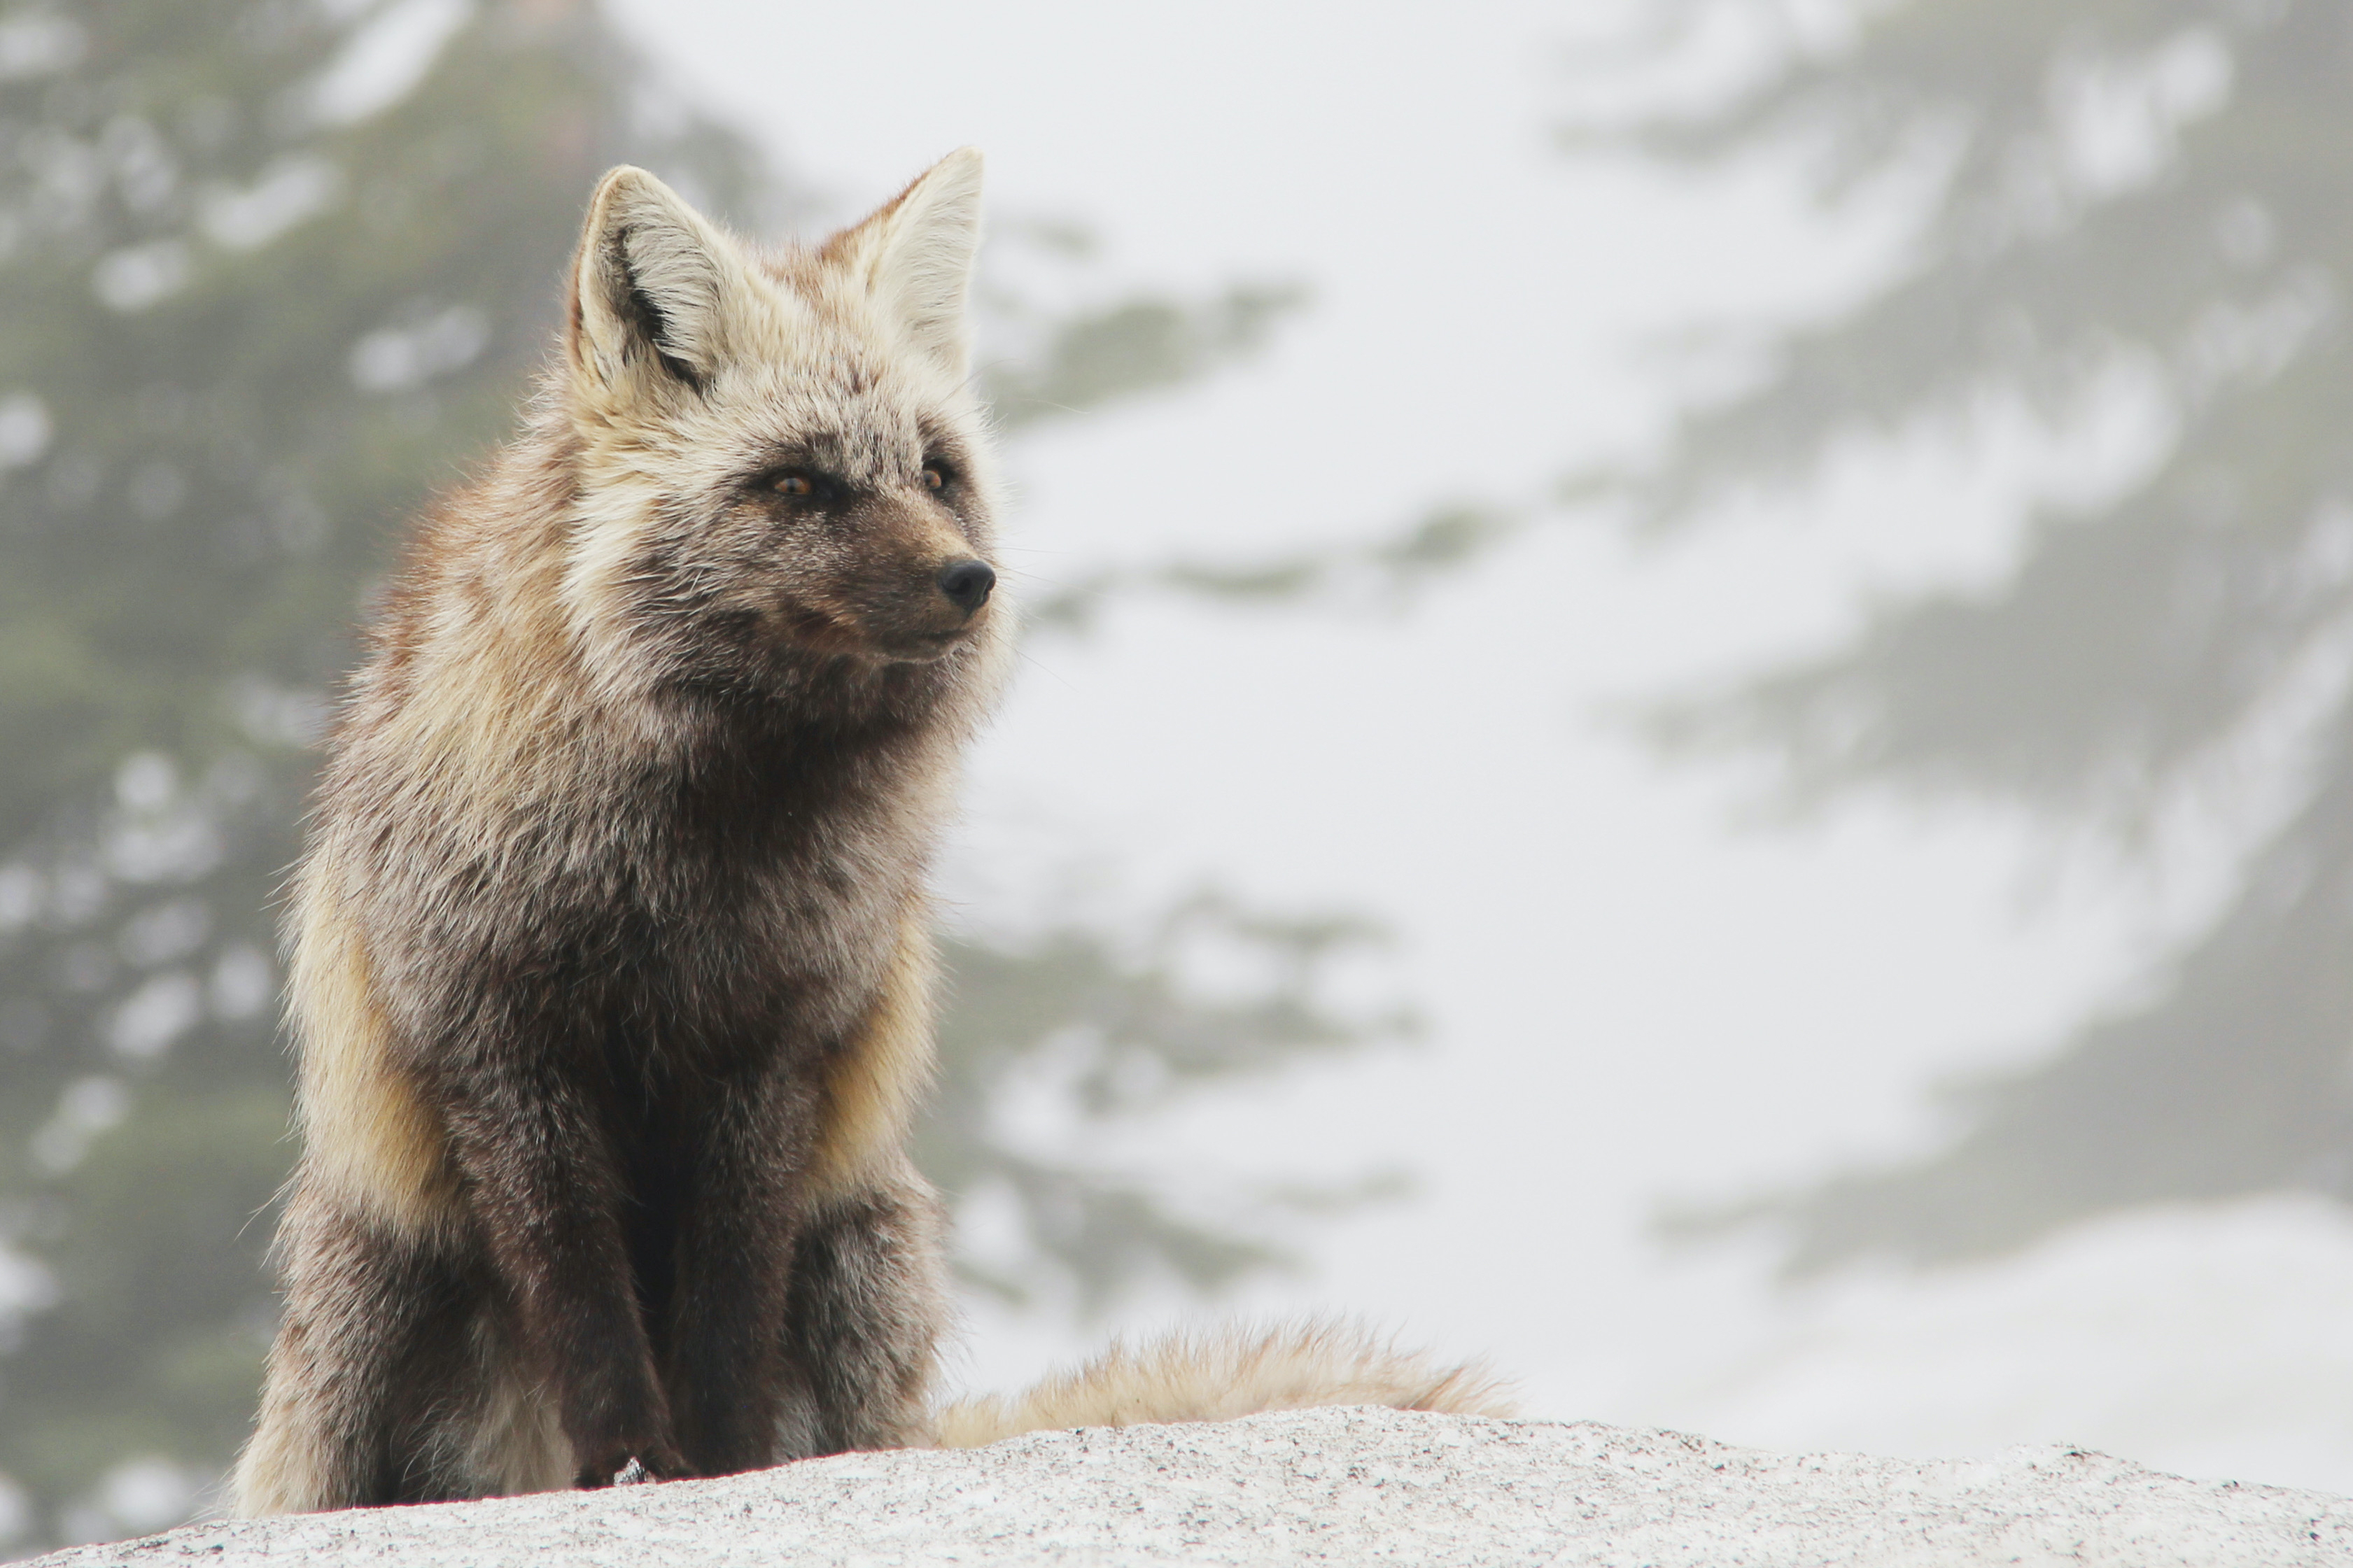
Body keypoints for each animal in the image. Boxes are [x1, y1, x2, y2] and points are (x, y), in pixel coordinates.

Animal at [232, 151, 1509, 1517]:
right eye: (798, 483)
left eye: (936, 473)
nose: (971, 582)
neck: (697, 857)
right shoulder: (504, 1047)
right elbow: (583, 1303)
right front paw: (632, 1469)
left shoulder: (771, 1053)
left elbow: (726, 1319)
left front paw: (726, 1470)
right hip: (376, 1291)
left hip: (859, 1254)